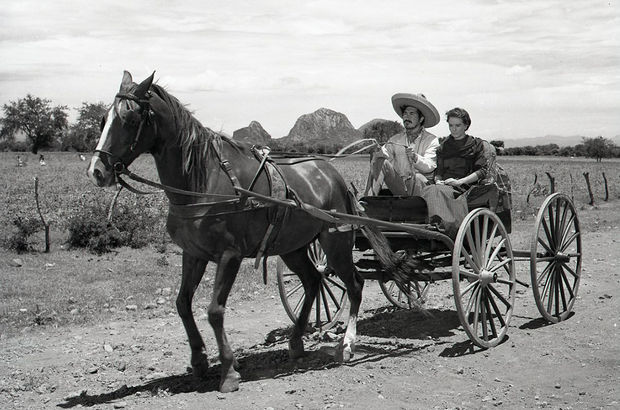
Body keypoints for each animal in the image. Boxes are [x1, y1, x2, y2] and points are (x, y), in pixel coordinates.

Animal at [87, 72, 366, 392]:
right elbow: (182, 304)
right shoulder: (193, 254)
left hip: (335, 241)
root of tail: (332, 174)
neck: (202, 181)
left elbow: (214, 311)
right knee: (312, 281)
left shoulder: (229, 255)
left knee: (354, 284)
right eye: (103, 119)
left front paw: (229, 371)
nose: (96, 171)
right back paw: (296, 343)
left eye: (130, 118)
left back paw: (346, 345)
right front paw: (199, 361)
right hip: (293, 247)